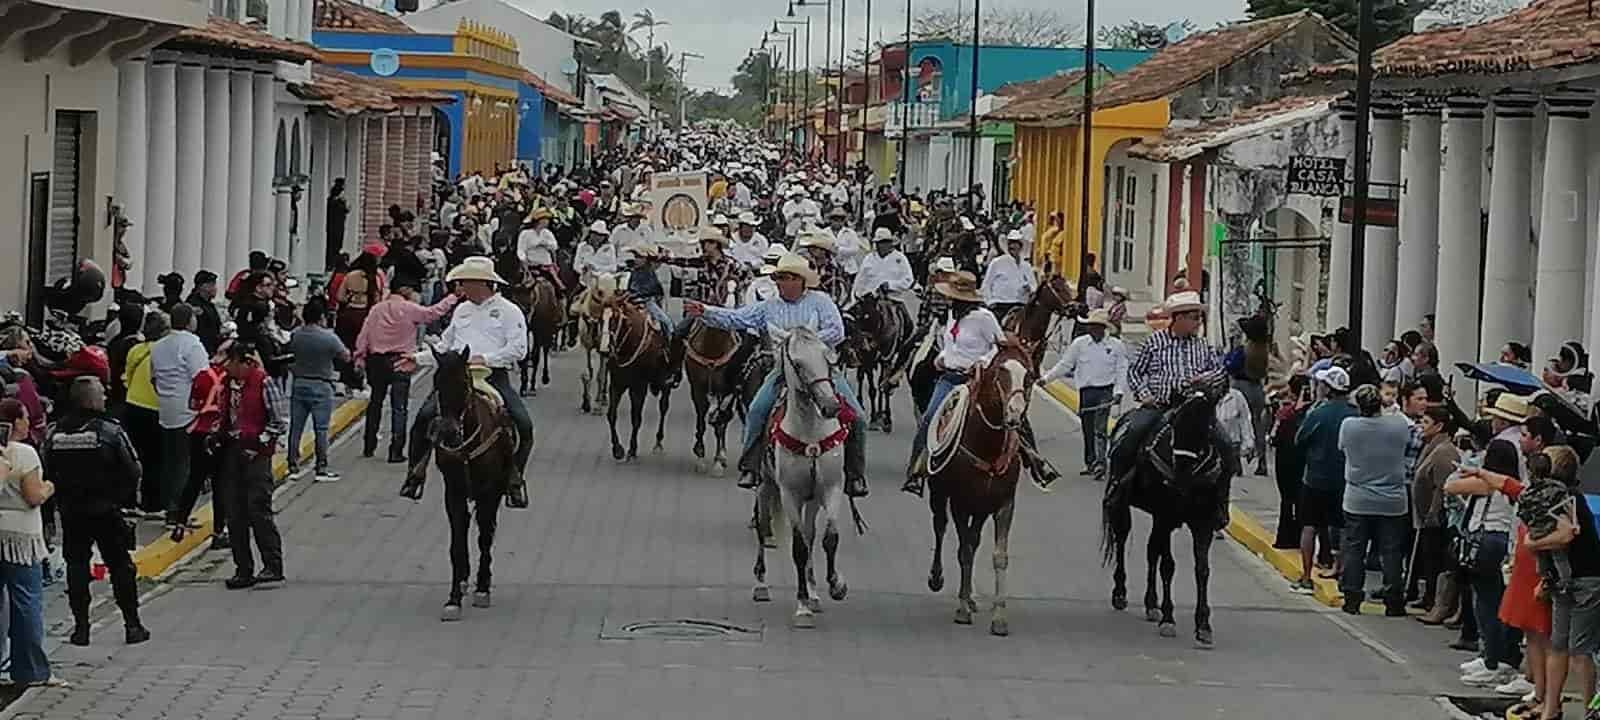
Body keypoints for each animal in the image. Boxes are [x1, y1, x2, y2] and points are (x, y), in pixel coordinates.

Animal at [425, 345, 512, 620]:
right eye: (437, 384)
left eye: (464, 384)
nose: (448, 432)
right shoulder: (453, 491)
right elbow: (457, 542)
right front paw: (453, 597)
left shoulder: (488, 490)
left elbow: (484, 537)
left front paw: (483, 588)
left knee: (488, 530)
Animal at [601, 289, 675, 457]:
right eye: (601, 319)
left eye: (615, 318)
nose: (605, 350)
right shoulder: (616, 384)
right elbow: (611, 415)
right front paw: (617, 449)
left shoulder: (639, 387)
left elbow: (636, 418)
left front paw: (632, 449)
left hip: (665, 384)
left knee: (663, 407)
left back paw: (658, 442)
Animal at [748, 323, 851, 627]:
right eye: (797, 363)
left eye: (827, 357)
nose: (830, 405)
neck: (810, 432)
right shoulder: (790, 495)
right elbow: (799, 549)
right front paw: (802, 606)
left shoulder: (831, 489)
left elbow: (828, 538)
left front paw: (835, 585)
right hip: (765, 486)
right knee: (763, 526)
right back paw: (761, 585)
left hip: (812, 499)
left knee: (810, 534)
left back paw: (815, 591)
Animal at [928, 342, 1036, 636]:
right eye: (1000, 372)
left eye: (1029, 375)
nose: (1015, 415)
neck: (986, 442)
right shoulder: (960, 502)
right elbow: (963, 550)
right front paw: (963, 609)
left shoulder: (1004, 504)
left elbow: (999, 556)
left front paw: (999, 617)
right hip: (940, 495)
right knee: (940, 528)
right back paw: (938, 579)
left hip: (981, 508)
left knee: (973, 540)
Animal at [1100, 385, 1222, 649]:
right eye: (1175, 423)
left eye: (1207, 427)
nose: (1181, 472)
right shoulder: (1165, 515)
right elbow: (1168, 566)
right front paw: (1168, 618)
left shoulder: (1204, 523)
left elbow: (1202, 569)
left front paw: (1203, 625)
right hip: (1124, 506)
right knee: (1123, 539)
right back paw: (1121, 593)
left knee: (1151, 552)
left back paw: (1151, 603)